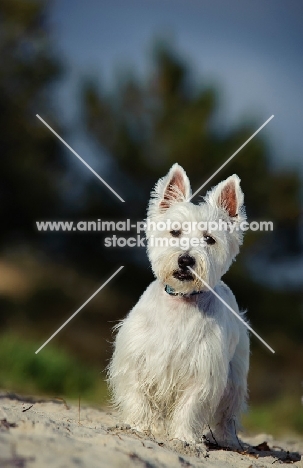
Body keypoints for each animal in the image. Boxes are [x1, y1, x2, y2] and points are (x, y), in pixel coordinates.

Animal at [108, 164, 251, 446]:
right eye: (175, 232)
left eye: (209, 239)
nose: (185, 260)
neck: (181, 301)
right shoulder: (136, 357)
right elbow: (137, 393)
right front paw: (140, 426)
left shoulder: (203, 371)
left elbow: (191, 406)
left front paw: (184, 438)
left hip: (236, 373)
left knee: (228, 411)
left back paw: (229, 440)